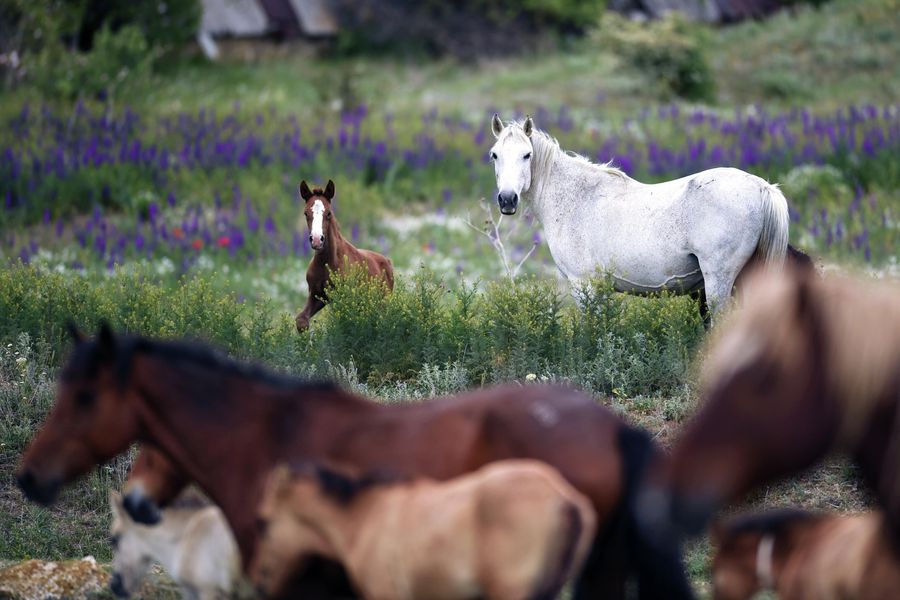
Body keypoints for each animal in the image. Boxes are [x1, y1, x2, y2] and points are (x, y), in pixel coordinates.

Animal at [295, 180, 394, 332]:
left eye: (328, 213)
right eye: (306, 213)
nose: (317, 240)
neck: (327, 262)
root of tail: (387, 261)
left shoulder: (342, 299)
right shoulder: (317, 295)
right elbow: (301, 321)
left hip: (384, 301)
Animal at [488, 114, 806, 321]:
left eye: (527, 155)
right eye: (494, 155)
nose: (507, 199)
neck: (576, 197)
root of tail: (762, 187)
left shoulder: (583, 285)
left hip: (720, 282)